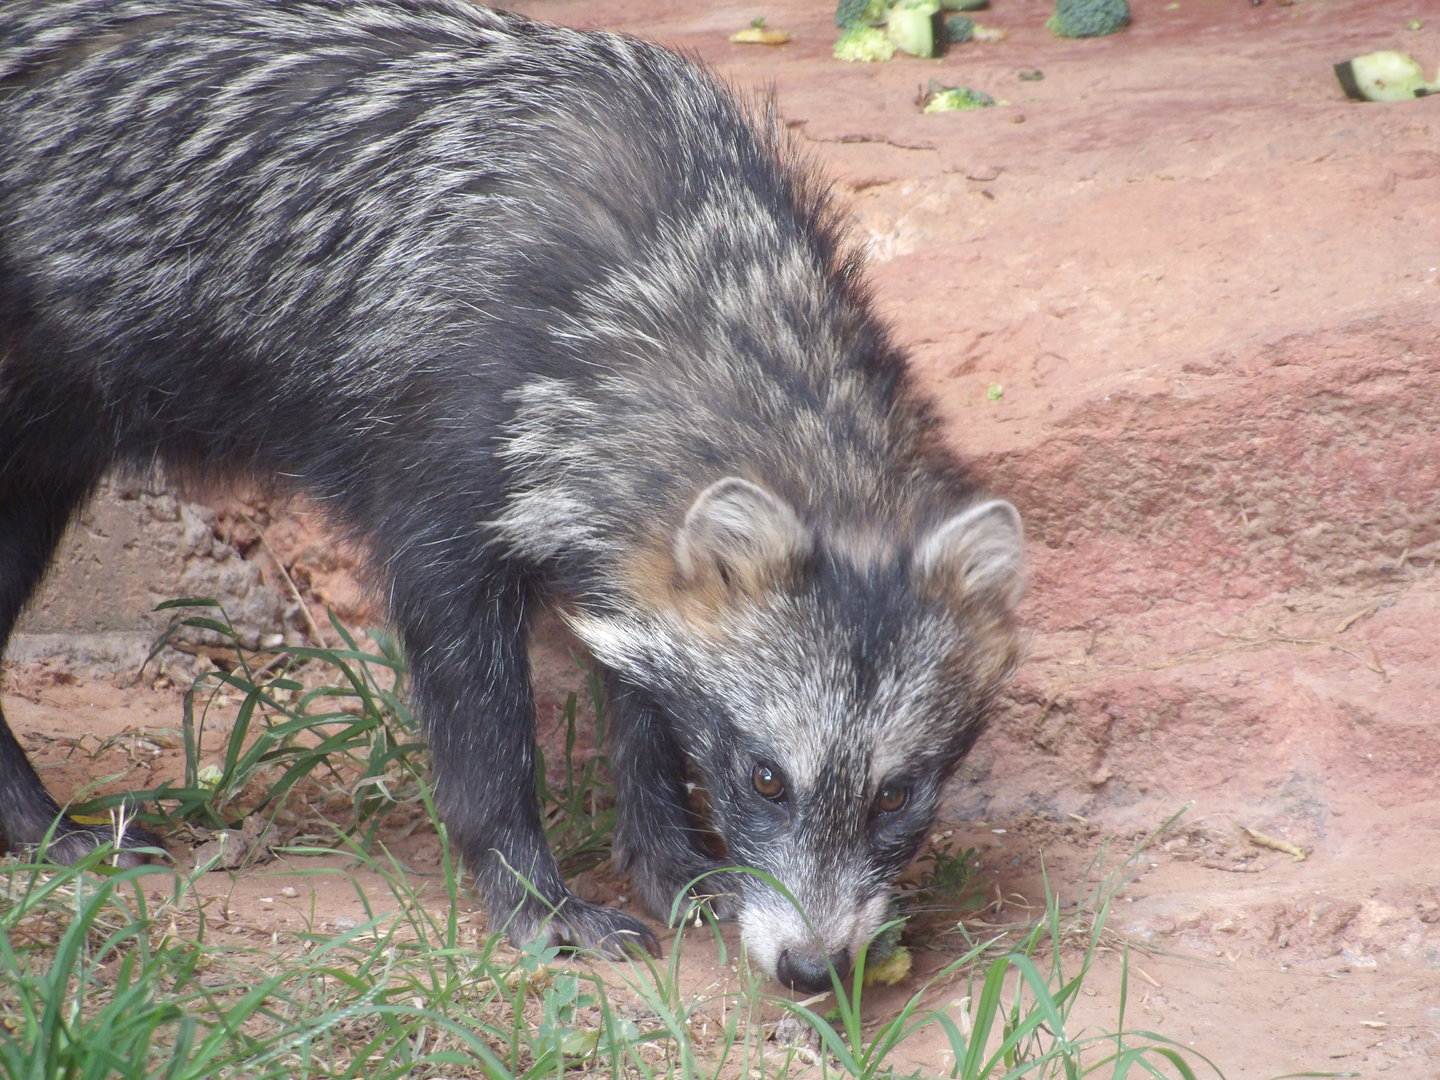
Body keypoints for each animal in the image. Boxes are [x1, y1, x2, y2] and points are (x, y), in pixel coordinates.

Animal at [0, 0, 1024, 992]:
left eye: (897, 794)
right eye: (768, 779)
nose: (812, 971)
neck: (660, 274)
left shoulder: (620, 554)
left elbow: (646, 722)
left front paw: (673, 865)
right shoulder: (436, 528)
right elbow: (491, 759)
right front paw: (535, 900)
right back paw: (42, 829)